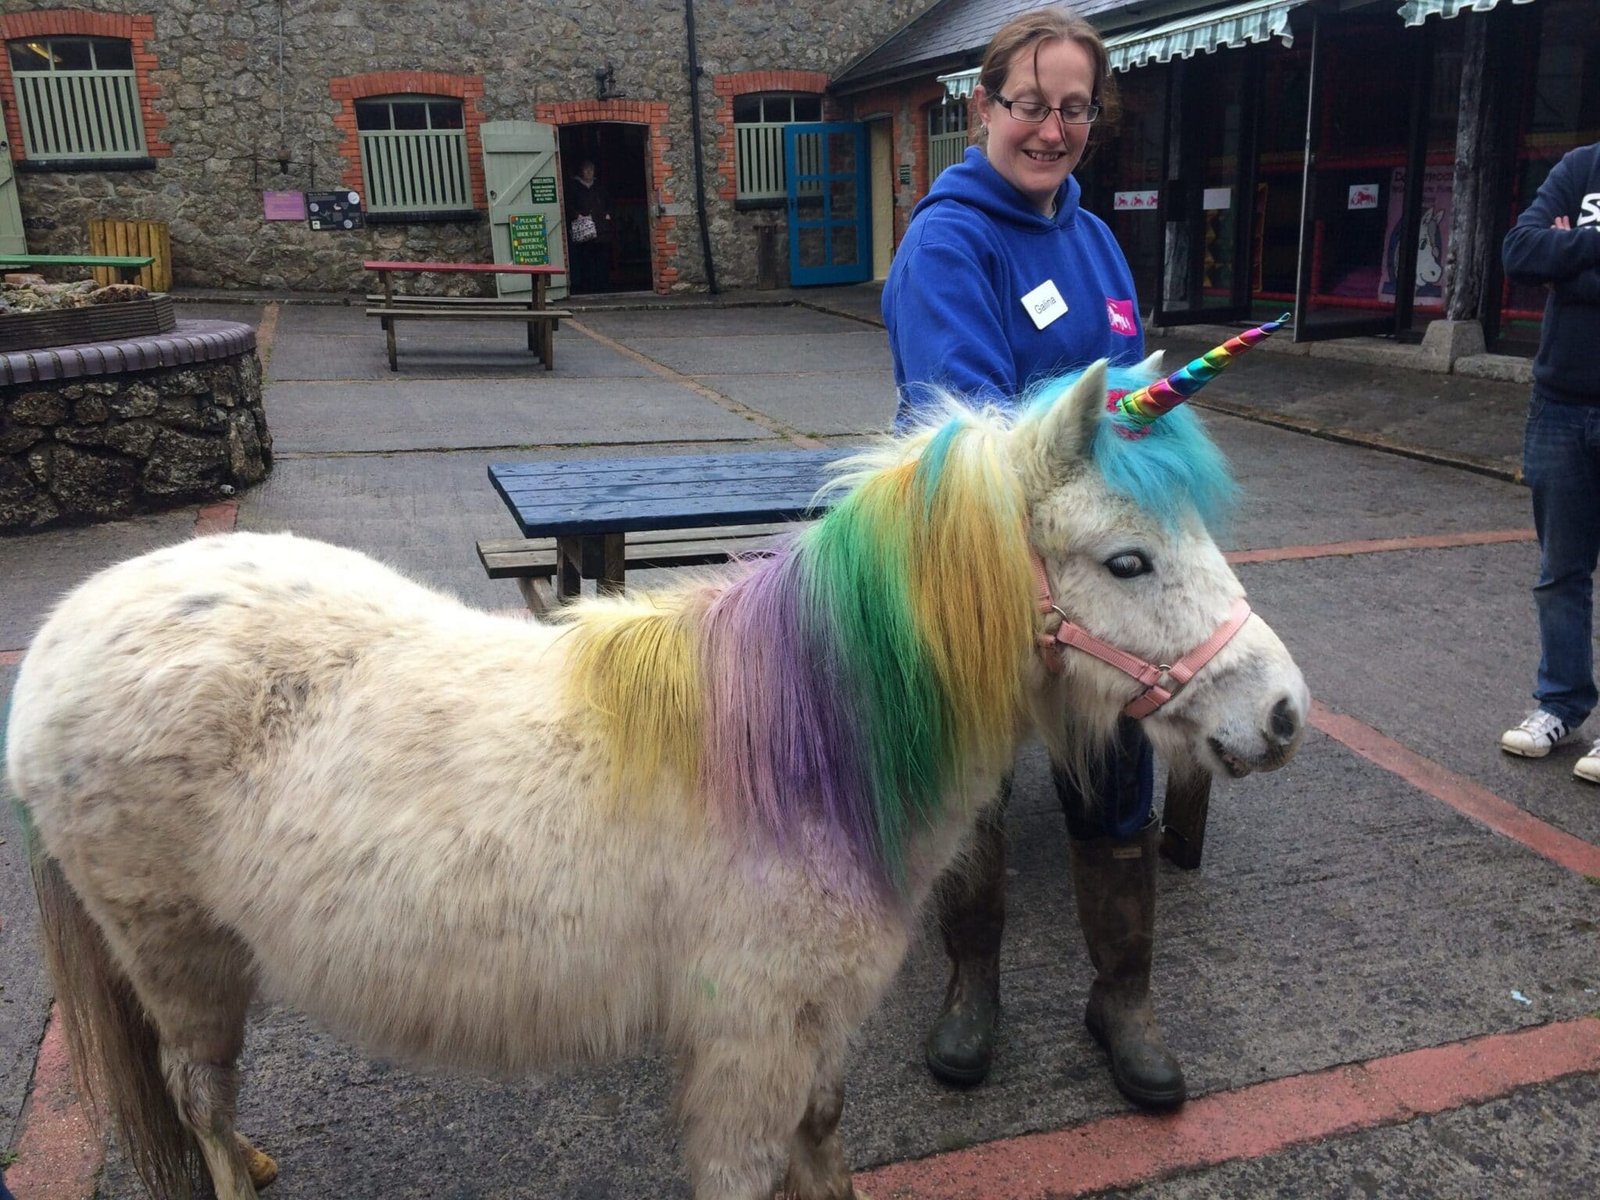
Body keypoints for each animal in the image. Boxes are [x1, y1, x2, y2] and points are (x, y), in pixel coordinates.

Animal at [6, 357, 1307, 1200]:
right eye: (1126, 561)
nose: (1283, 715)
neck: (800, 753)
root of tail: (74, 627)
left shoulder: (807, 1029)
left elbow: (823, 1144)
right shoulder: (746, 1042)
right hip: (180, 957)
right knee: (197, 1095)